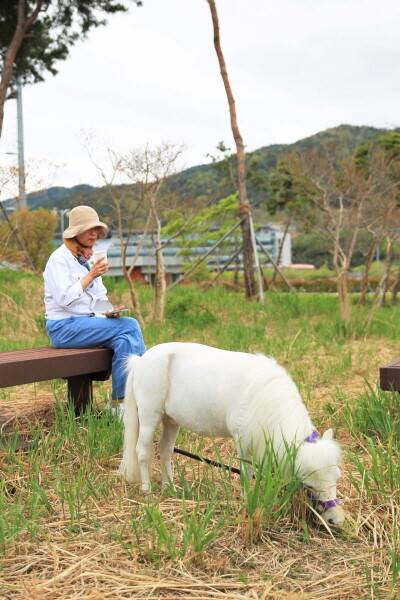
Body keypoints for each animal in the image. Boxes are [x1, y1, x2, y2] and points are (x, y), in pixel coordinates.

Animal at [118, 342, 344, 524]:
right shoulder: (243, 441)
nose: (336, 520)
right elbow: (246, 473)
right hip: (149, 416)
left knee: (165, 450)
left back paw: (170, 488)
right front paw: (246, 501)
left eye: (336, 477)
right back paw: (147, 491)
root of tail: (140, 360)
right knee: (143, 451)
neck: (264, 396)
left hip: (171, 420)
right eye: (309, 486)